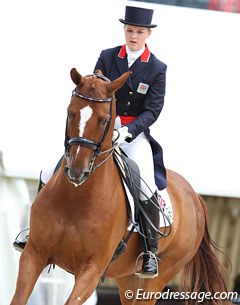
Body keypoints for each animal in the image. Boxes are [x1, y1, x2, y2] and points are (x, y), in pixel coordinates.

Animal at [10, 69, 231, 304]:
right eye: (70, 113)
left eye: (104, 120)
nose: (77, 171)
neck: (76, 198)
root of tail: (195, 197)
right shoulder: (34, 254)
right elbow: (18, 297)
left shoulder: (92, 269)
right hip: (128, 279)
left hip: (158, 277)